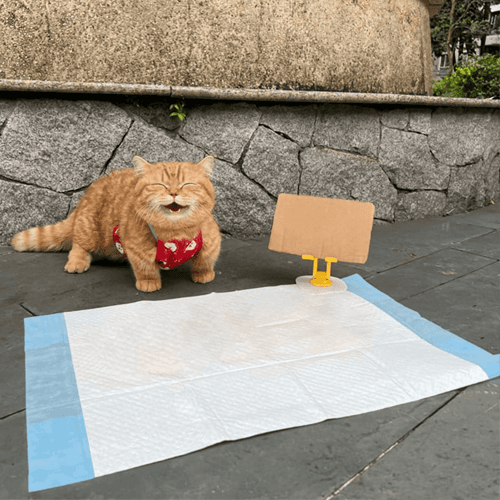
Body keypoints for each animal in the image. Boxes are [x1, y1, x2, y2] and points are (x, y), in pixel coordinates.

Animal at [9, 154, 221, 292]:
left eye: (188, 184)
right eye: (159, 185)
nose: (174, 192)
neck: (175, 234)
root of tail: (87, 194)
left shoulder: (210, 239)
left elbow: (205, 259)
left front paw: (204, 274)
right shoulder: (137, 247)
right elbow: (145, 267)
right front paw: (149, 282)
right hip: (90, 231)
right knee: (78, 245)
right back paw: (77, 261)